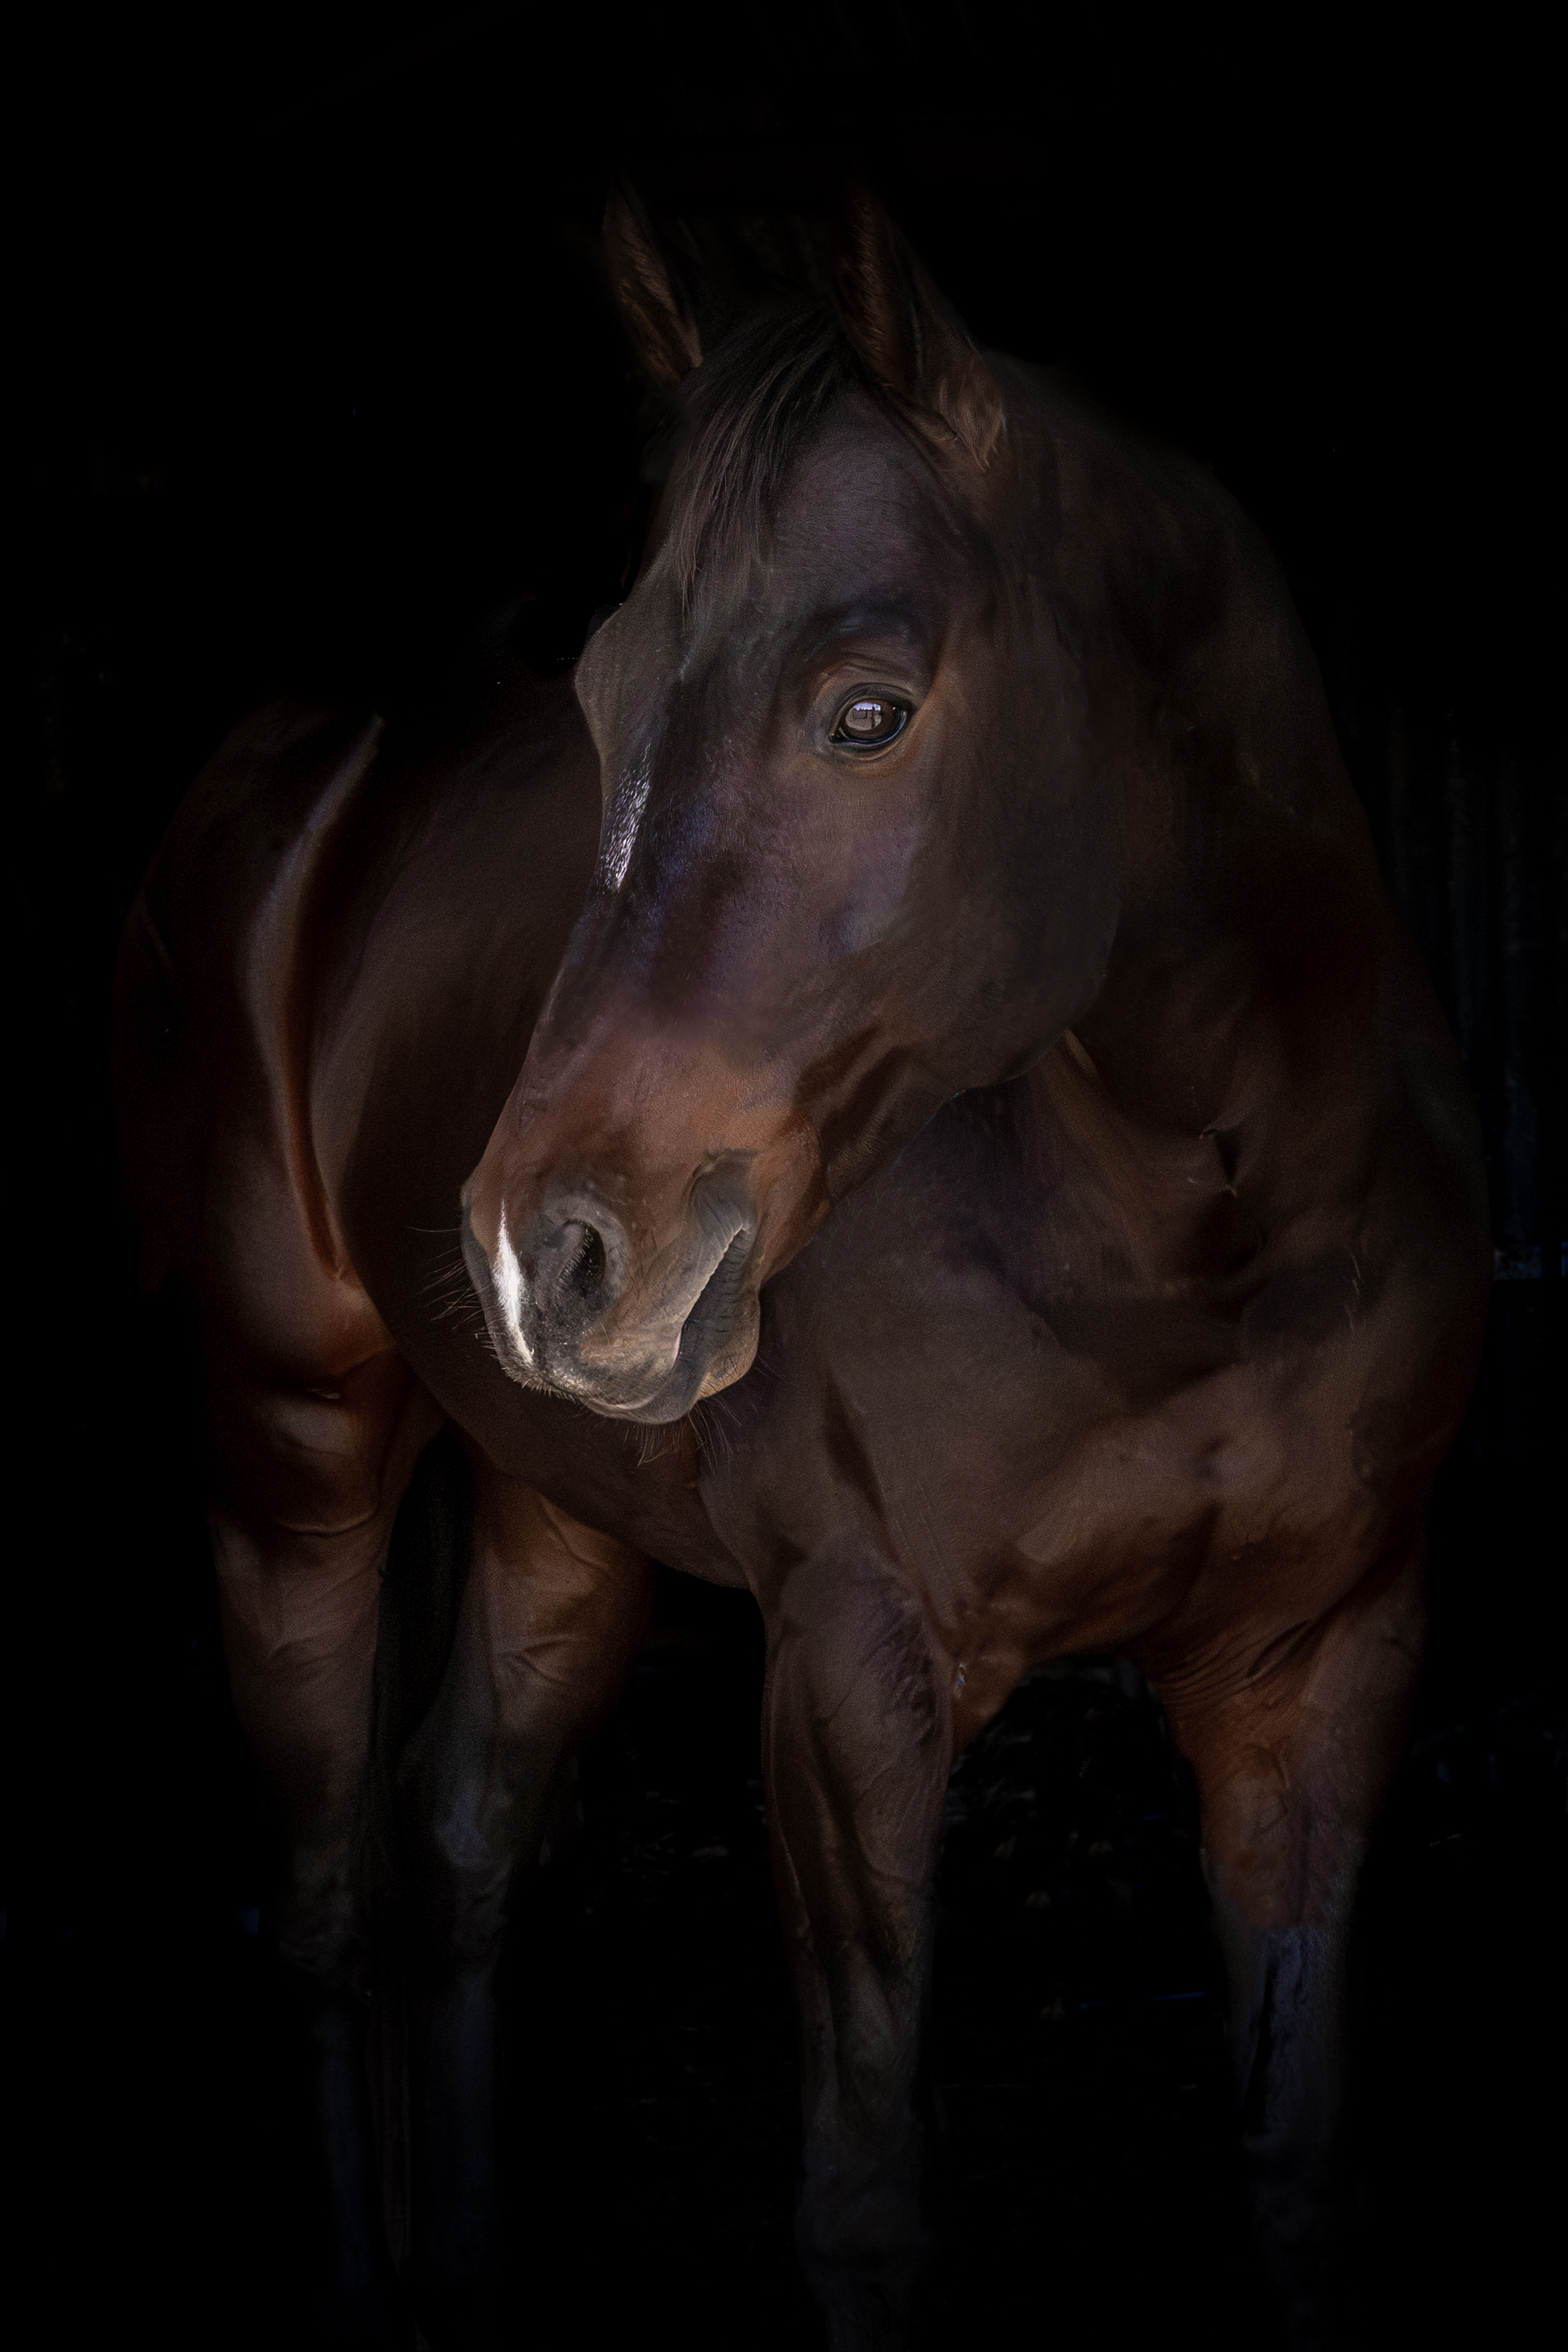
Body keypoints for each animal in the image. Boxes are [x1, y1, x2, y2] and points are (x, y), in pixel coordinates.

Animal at [114, 181, 1489, 2350]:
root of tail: (308, 762)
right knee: (327, 1903)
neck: (1197, 1242)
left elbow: (1292, 2170)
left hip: (553, 1521)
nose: (549, 1251)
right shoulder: (848, 1673)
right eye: (602, 696)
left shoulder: (1323, 1667)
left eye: (866, 707)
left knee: (453, 1854)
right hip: (289, 1458)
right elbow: (859, 2202)